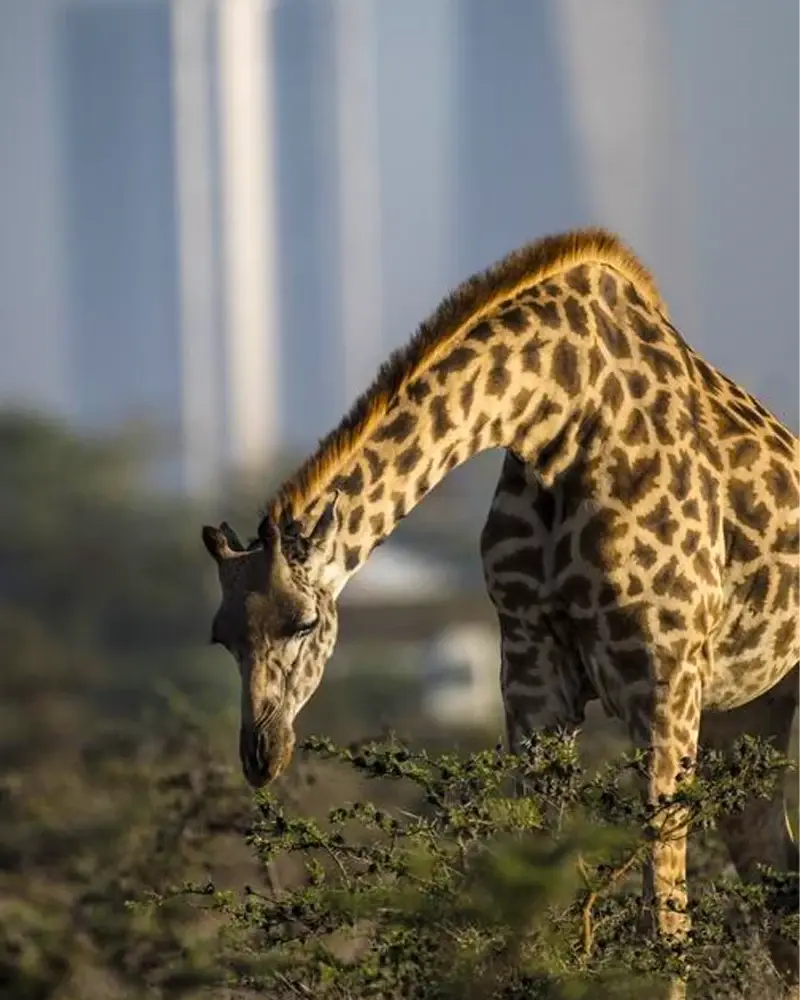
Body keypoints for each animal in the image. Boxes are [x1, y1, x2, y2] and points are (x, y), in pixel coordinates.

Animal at [202, 228, 799, 997]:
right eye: (221, 638)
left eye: (303, 622)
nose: (261, 755)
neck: (560, 415)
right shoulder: (531, 668)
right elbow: (537, 900)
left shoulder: (663, 677)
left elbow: (664, 924)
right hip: (747, 706)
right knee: (775, 874)